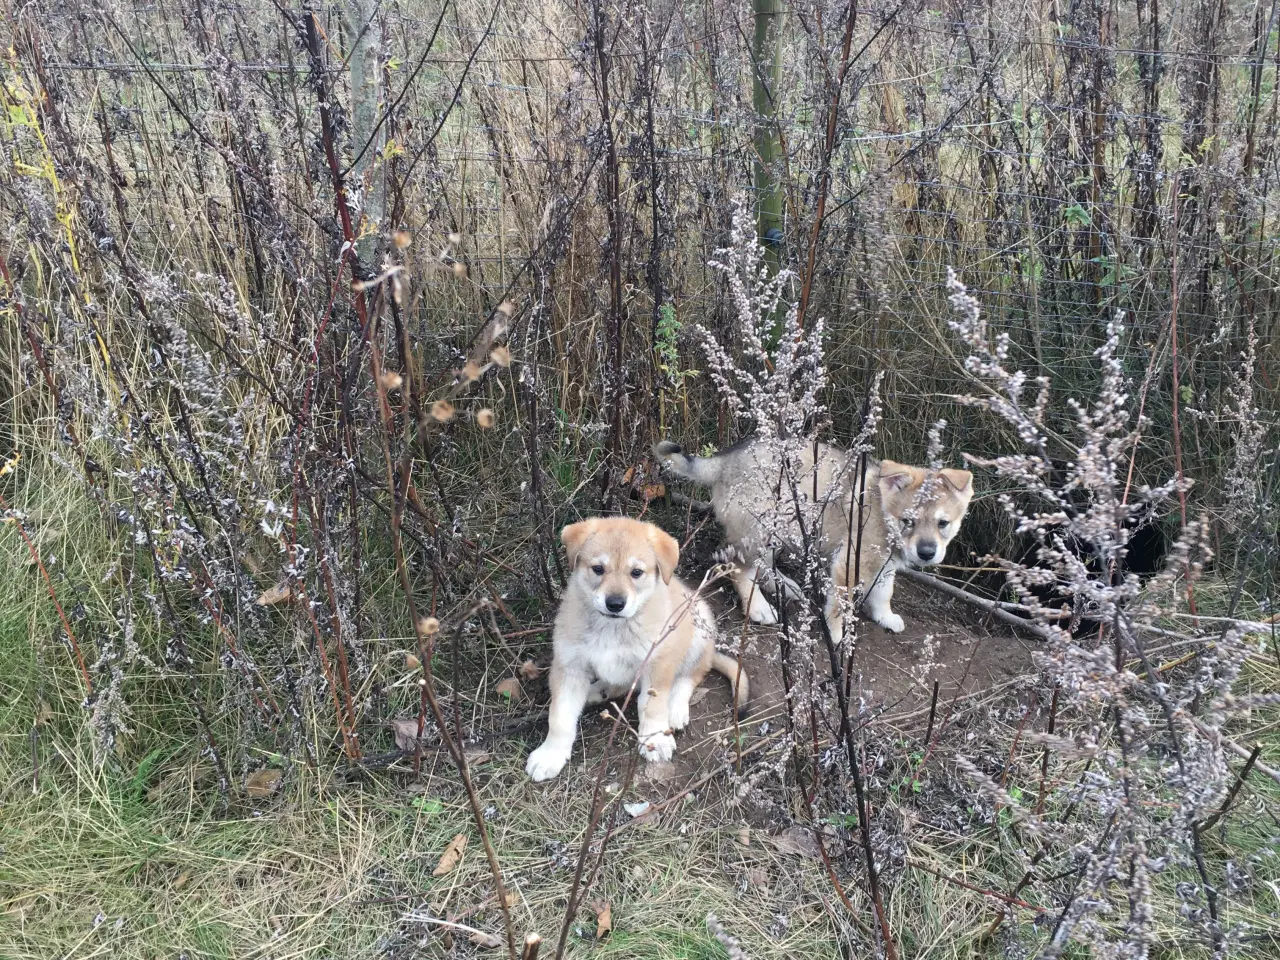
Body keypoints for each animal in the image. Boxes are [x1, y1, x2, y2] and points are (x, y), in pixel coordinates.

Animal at [524, 519, 747, 783]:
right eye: (598, 569)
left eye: (636, 573)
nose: (615, 604)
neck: (613, 627)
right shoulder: (569, 667)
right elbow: (559, 717)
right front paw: (550, 755)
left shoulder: (657, 663)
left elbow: (651, 707)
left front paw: (655, 739)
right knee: (619, 685)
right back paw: (597, 691)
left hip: (698, 631)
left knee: (690, 676)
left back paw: (675, 709)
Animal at [655, 440, 972, 642]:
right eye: (908, 521)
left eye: (943, 523)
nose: (927, 553)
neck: (882, 510)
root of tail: (725, 462)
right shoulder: (850, 562)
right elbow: (839, 605)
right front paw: (836, 635)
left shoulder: (885, 565)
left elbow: (884, 593)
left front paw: (885, 617)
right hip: (761, 529)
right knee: (738, 567)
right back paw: (758, 607)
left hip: (777, 532)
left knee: (763, 566)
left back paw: (786, 587)